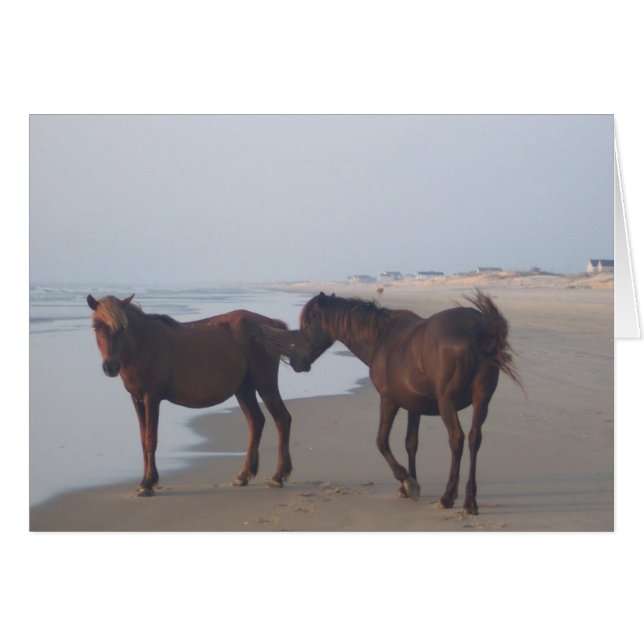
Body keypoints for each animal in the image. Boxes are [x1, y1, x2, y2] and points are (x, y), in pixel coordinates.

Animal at [87, 294, 293, 497]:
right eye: (96, 326)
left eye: (122, 327)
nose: (110, 367)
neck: (143, 344)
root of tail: (270, 323)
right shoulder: (137, 399)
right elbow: (143, 440)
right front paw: (144, 481)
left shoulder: (151, 398)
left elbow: (151, 439)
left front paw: (148, 483)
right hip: (244, 388)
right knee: (256, 422)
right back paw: (243, 475)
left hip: (265, 383)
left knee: (282, 419)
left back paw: (278, 476)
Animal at [264, 290, 522, 515]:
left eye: (308, 324)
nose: (295, 362)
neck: (381, 339)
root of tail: (479, 327)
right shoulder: (414, 406)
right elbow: (411, 443)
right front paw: (408, 485)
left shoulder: (388, 400)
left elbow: (381, 441)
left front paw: (407, 481)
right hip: (482, 400)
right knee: (474, 439)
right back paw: (470, 502)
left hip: (446, 403)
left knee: (457, 439)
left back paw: (448, 497)